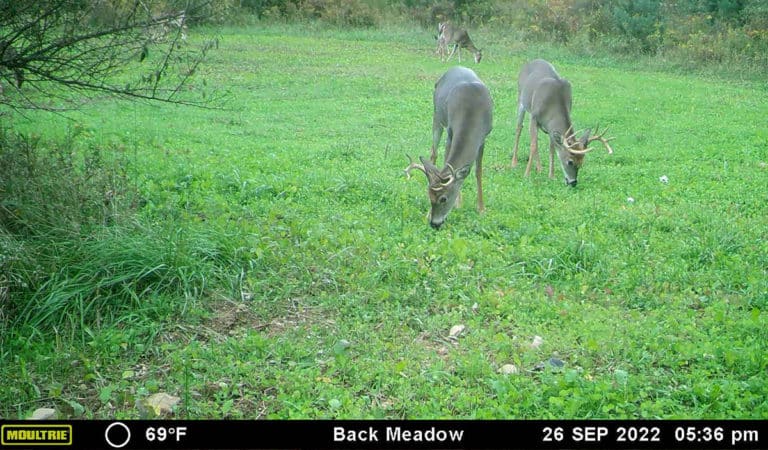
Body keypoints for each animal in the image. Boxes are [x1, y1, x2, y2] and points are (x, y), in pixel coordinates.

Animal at [405, 66, 493, 229]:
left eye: (443, 199)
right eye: (429, 197)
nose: (434, 223)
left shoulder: (483, 137)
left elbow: (478, 172)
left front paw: (481, 209)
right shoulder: (451, 131)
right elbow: (447, 163)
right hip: (437, 117)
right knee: (433, 153)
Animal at [511, 59, 614, 187]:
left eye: (582, 162)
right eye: (570, 162)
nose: (573, 182)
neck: (553, 104)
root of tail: (530, 61)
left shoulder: (550, 127)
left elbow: (552, 148)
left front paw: (551, 176)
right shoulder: (534, 116)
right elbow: (533, 145)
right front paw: (526, 175)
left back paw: (539, 168)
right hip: (520, 98)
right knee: (519, 128)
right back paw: (514, 162)